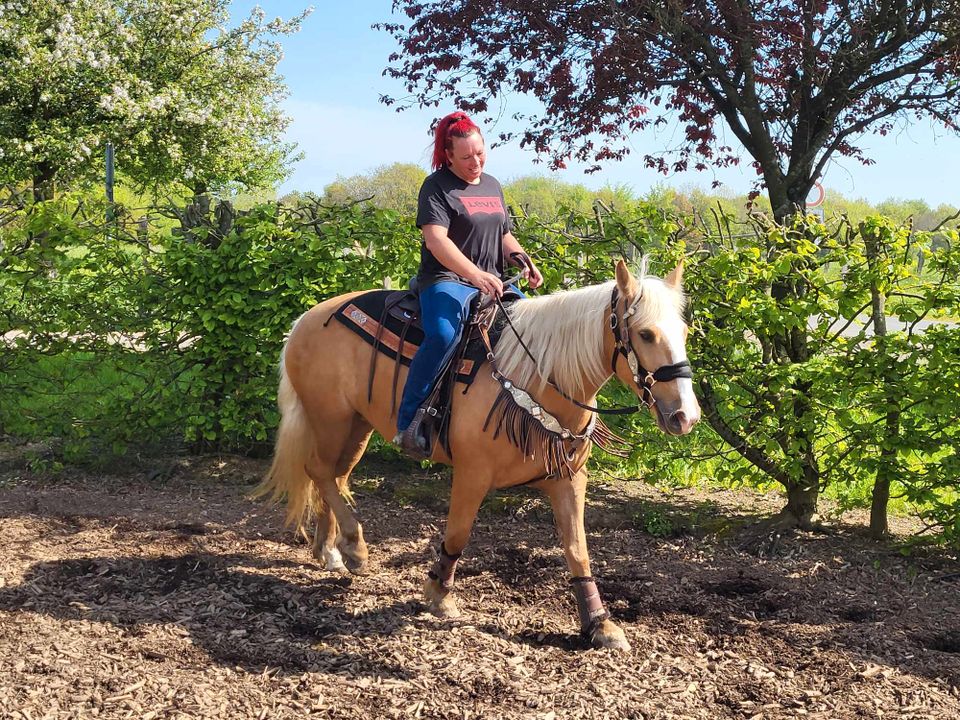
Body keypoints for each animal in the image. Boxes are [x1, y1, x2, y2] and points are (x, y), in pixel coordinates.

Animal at [258, 260, 700, 652]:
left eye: (683, 330)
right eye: (645, 334)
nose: (686, 416)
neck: (536, 376)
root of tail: (306, 320)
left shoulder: (569, 479)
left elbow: (577, 549)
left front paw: (600, 625)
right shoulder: (472, 474)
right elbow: (457, 534)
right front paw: (439, 593)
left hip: (356, 425)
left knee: (334, 476)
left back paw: (330, 551)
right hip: (330, 418)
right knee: (318, 470)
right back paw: (353, 547)